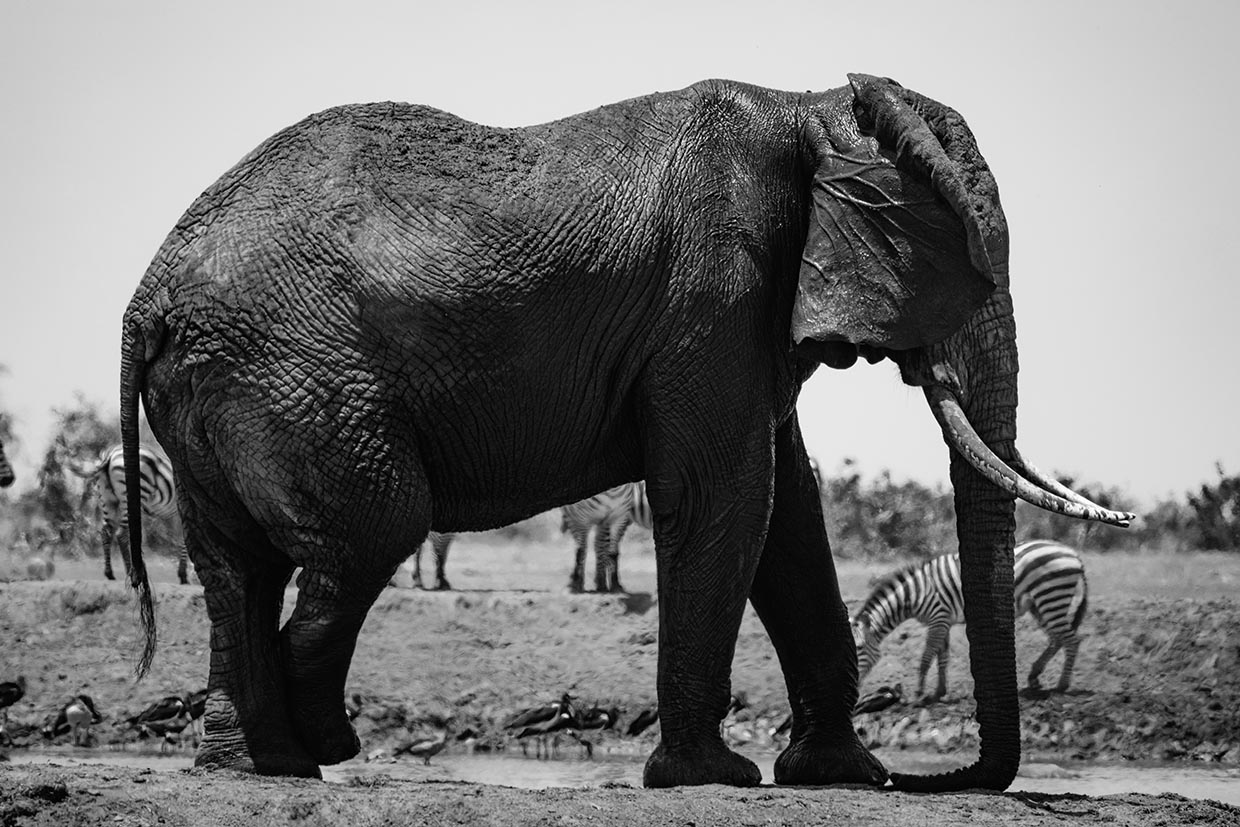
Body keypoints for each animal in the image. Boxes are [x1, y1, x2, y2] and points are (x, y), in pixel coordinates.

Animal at [118, 73, 1134, 791]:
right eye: (970, 268)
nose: (935, 779)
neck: (810, 106)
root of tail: (147, 295)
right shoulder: (714, 291)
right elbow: (732, 498)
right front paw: (713, 777)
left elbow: (790, 517)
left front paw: (841, 774)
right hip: (289, 366)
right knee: (371, 527)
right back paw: (310, 742)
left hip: (222, 380)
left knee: (236, 564)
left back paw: (252, 762)